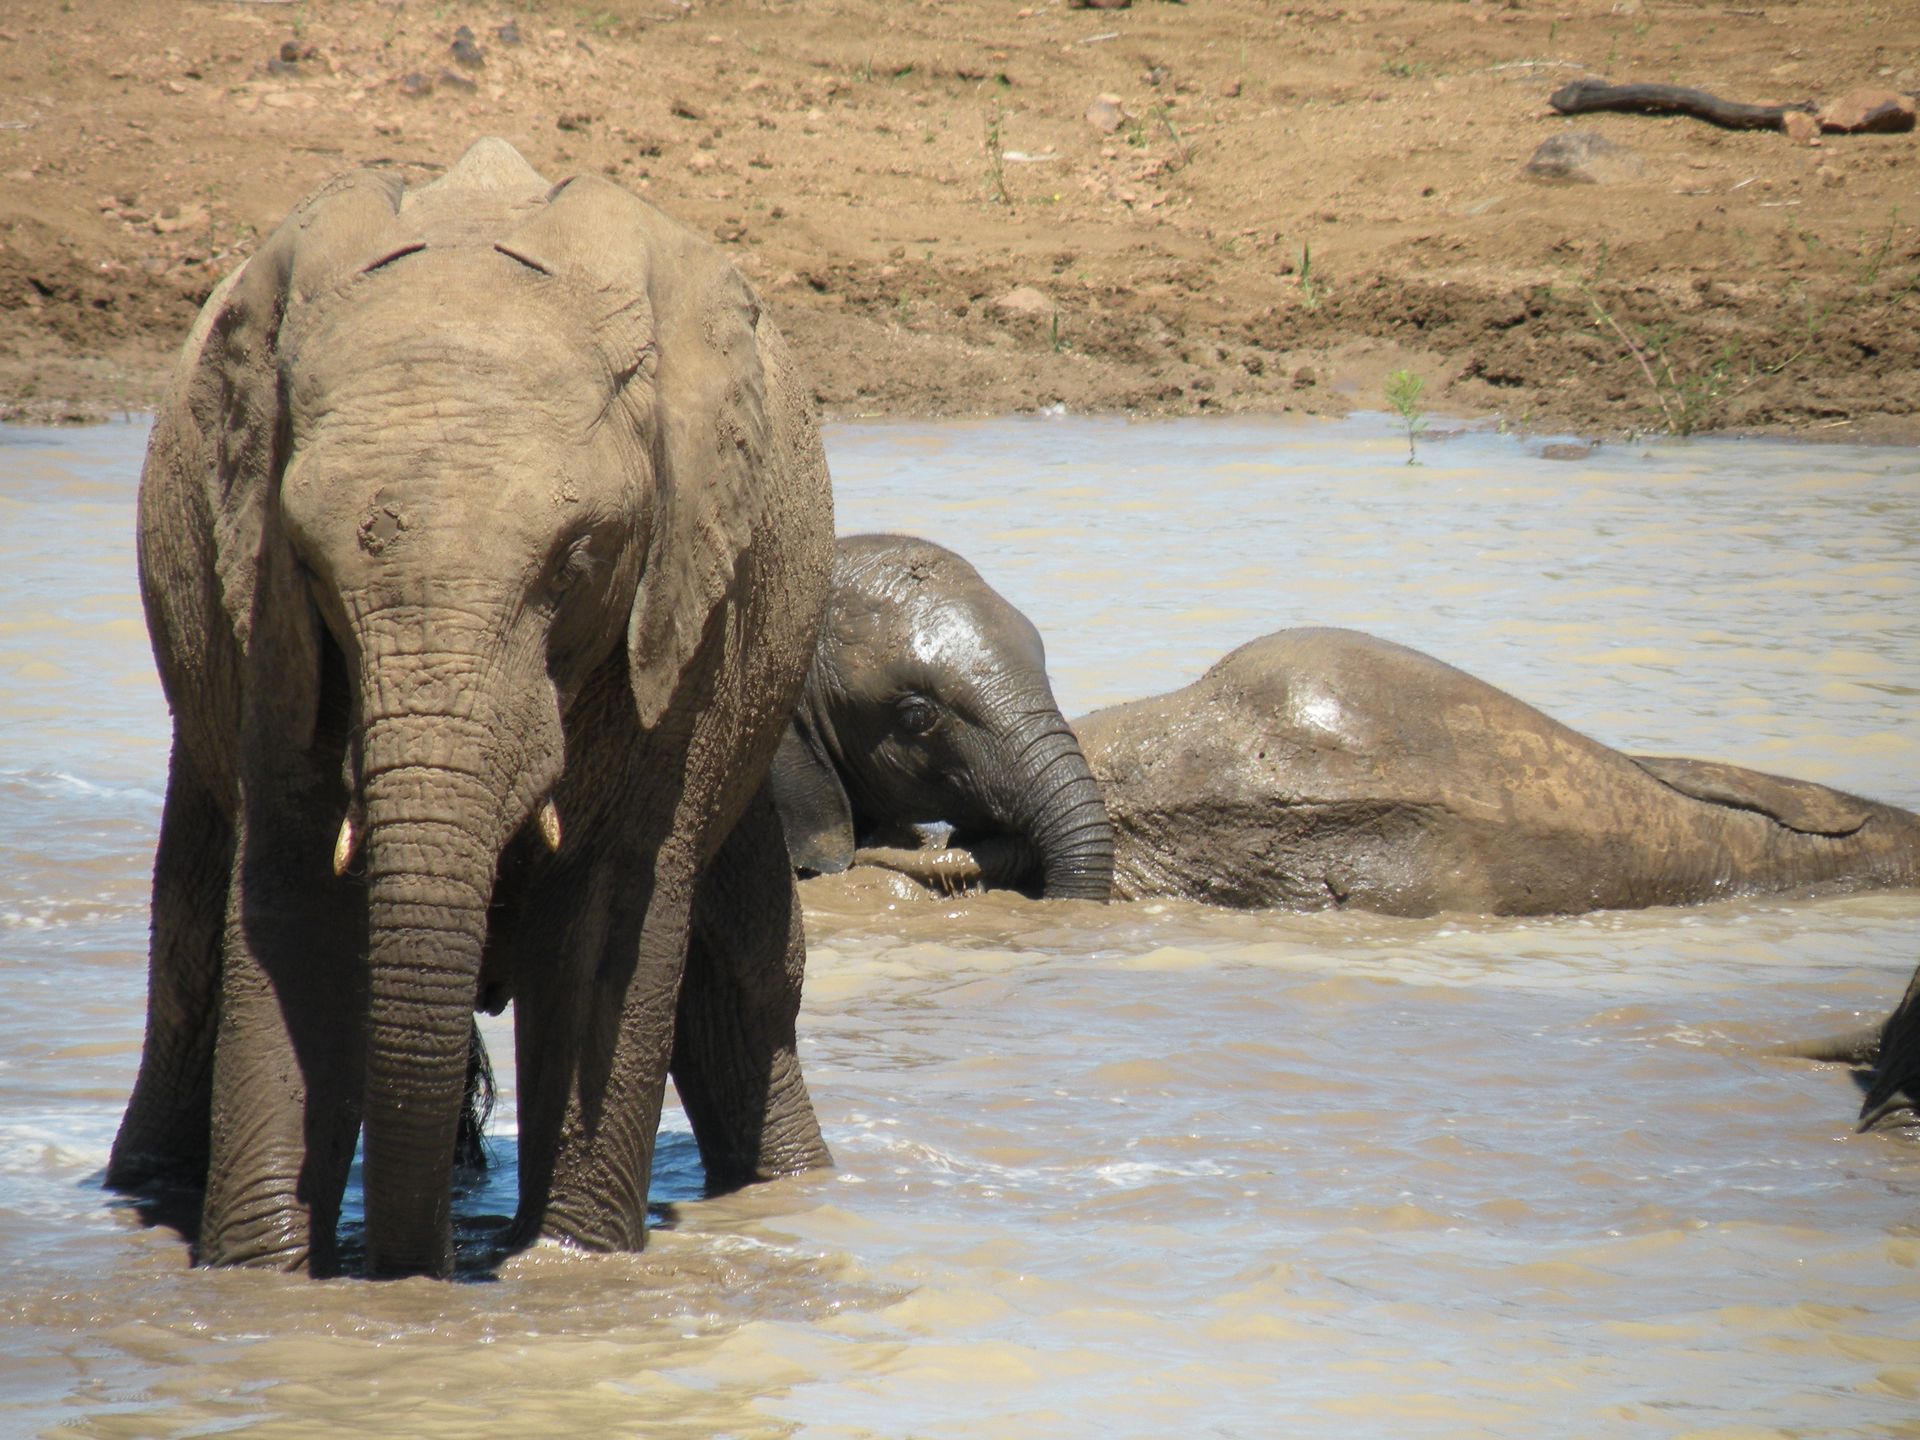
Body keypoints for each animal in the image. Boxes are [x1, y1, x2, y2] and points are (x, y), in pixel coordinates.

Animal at [105, 137, 834, 1279]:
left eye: (577, 560)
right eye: (310, 564)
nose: (423, 1268)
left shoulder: (680, 610)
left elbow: (612, 910)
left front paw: (566, 1270)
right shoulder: (263, 615)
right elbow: (289, 892)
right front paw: (267, 1281)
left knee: (748, 965)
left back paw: (788, 1187)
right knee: (186, 951)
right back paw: (145, 1187)